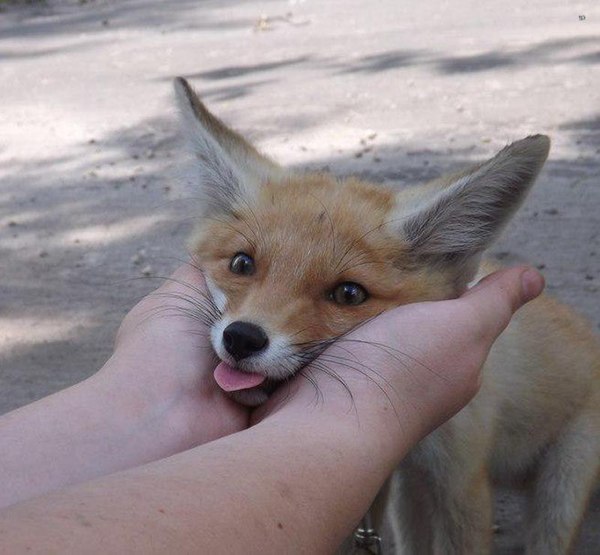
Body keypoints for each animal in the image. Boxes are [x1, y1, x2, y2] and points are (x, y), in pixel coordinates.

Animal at [173, 79, 600, 555]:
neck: (413, 435)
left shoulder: (460, 481)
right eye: (242, 264)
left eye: (348, 294)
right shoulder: (398, 479)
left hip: (562, 488)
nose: (242, 338)